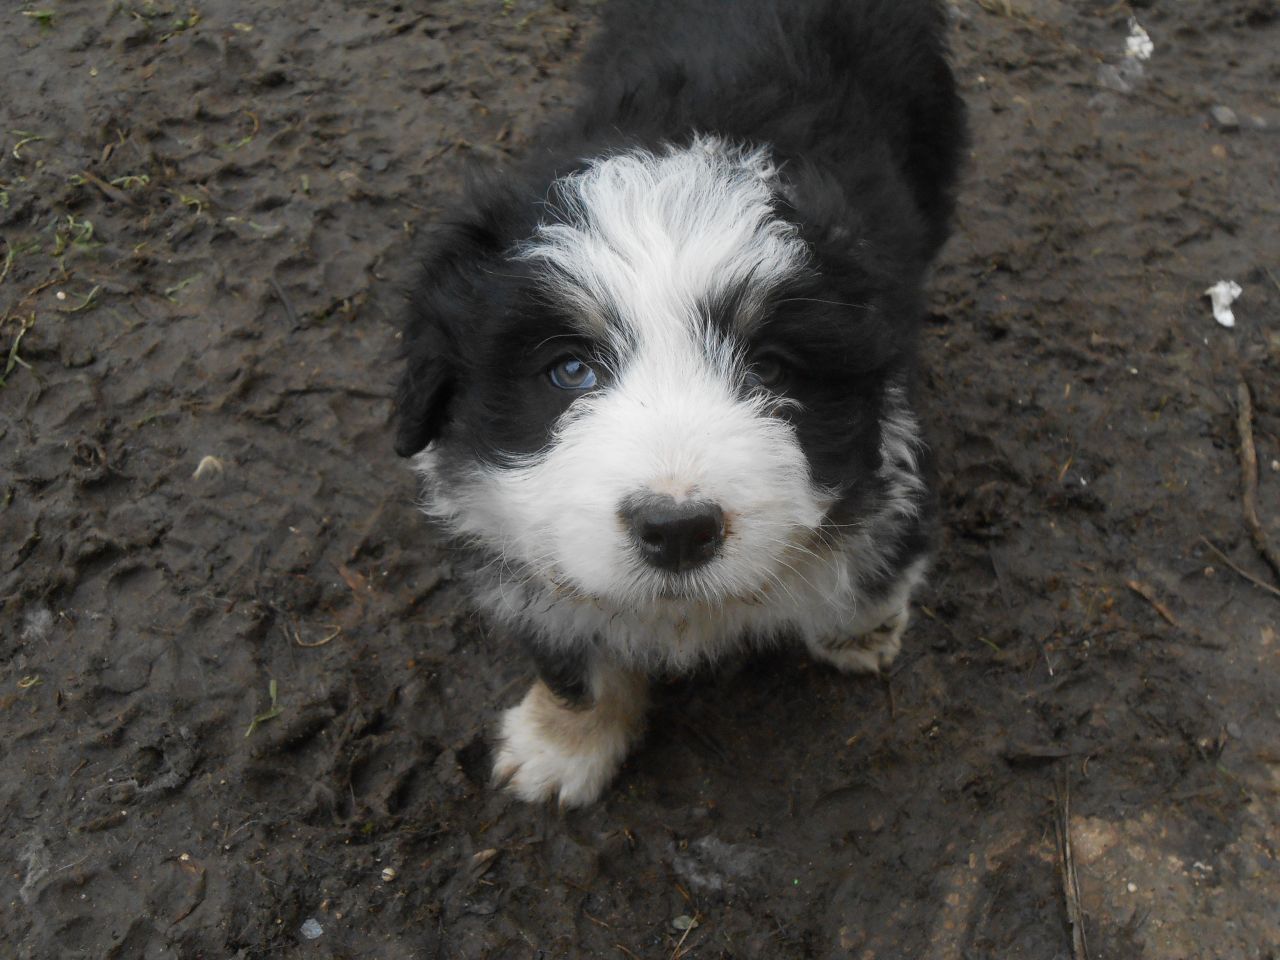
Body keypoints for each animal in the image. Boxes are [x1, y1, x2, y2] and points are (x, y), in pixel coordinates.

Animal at [394, 0, 962, 808]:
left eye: (771, 367)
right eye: (569, 369)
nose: (678, 529)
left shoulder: (895, 446)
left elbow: (881, 559)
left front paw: (861, 632)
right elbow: (572, 655)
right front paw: (560, 747)